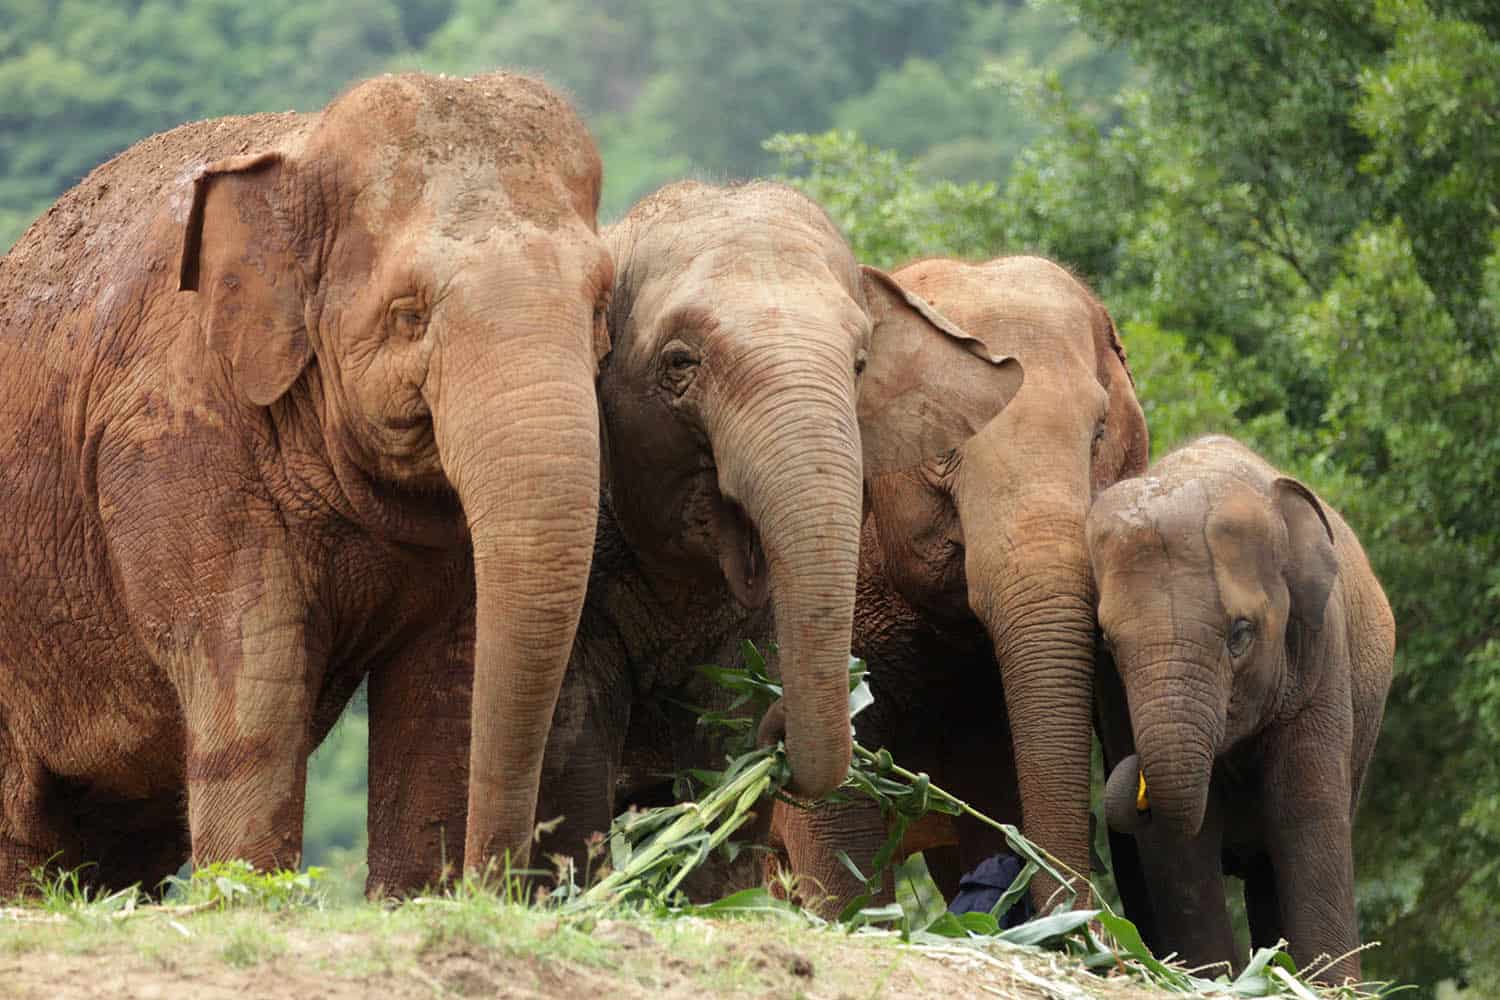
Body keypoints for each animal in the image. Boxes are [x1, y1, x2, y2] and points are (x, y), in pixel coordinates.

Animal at [0, 72, 611, 896]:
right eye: (408, 314)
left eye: (603, 305)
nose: (498, 886)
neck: (301, 148)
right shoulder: (172, 432)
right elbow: (252, 667)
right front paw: (249, 896)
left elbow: (446, 679)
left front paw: (409, 900)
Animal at [1089, 435, 1394, 983]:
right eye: (1108, 643)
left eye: (1240, 634)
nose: (1128, 768)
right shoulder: (1114, 696)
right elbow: (1178, 851)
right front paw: (1211, 977)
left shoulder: (1321, 657)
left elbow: (1308, 818)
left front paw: (1324, 984)